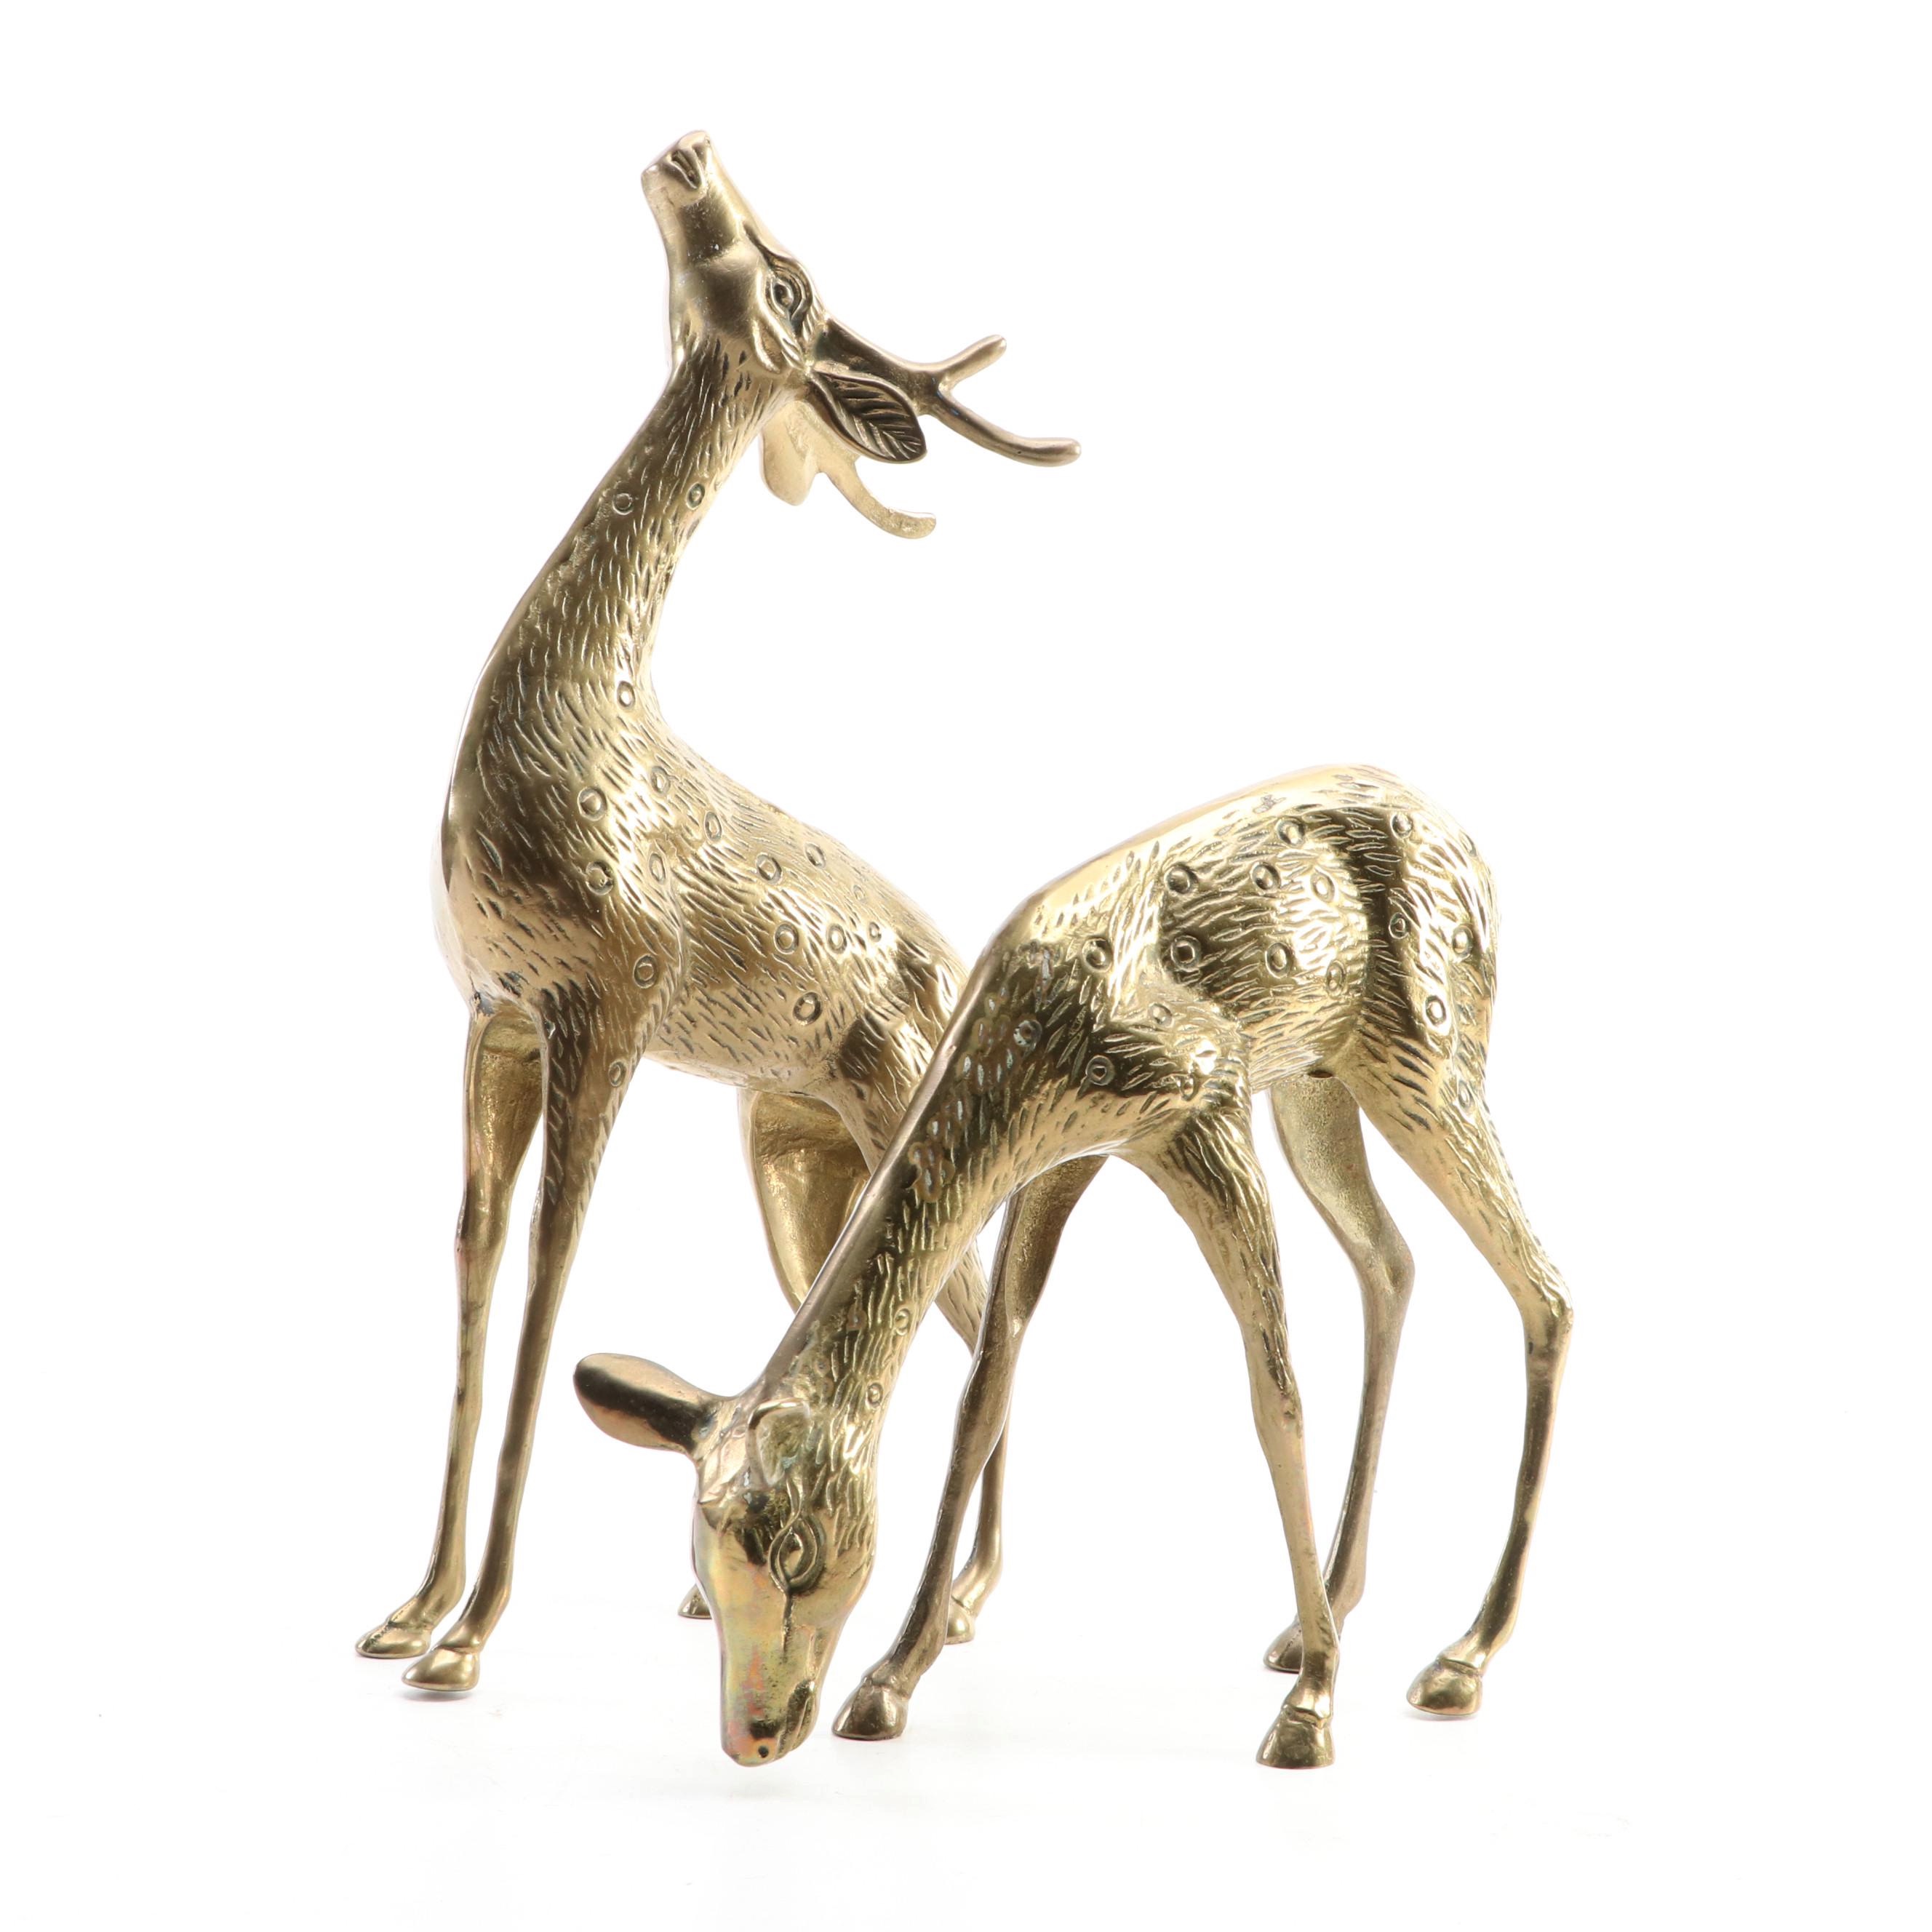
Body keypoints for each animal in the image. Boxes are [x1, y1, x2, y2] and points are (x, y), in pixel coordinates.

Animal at [354, 132, 1080, 1695]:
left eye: (787, 275)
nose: (691, 152)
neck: (579, 720)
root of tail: (957, 975)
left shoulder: (606, 1011)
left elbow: (554, 1278)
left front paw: (472, 1636)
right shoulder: (495, 1019)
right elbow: (476, 1267)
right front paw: (406, 1610)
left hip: (883, 1120)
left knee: (993, 1318)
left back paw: (964, 1604)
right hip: (792, 1153)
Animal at [576, 765, 1573, 1768]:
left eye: (794, 1550)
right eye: (701, 1561)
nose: (755, 1734)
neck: (1031, 1035)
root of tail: (1462, 842)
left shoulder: (1206, 1114)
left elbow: (1276, 1396)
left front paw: (1311, 1712)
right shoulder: (1056, 1161)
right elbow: (983, 1388)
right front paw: (890, 1680)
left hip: (1426, 1062)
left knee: (1545, 1289)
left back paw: (1457, 1656)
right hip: (1317, 1083)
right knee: (1391, 1262)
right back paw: (1315, 1623)